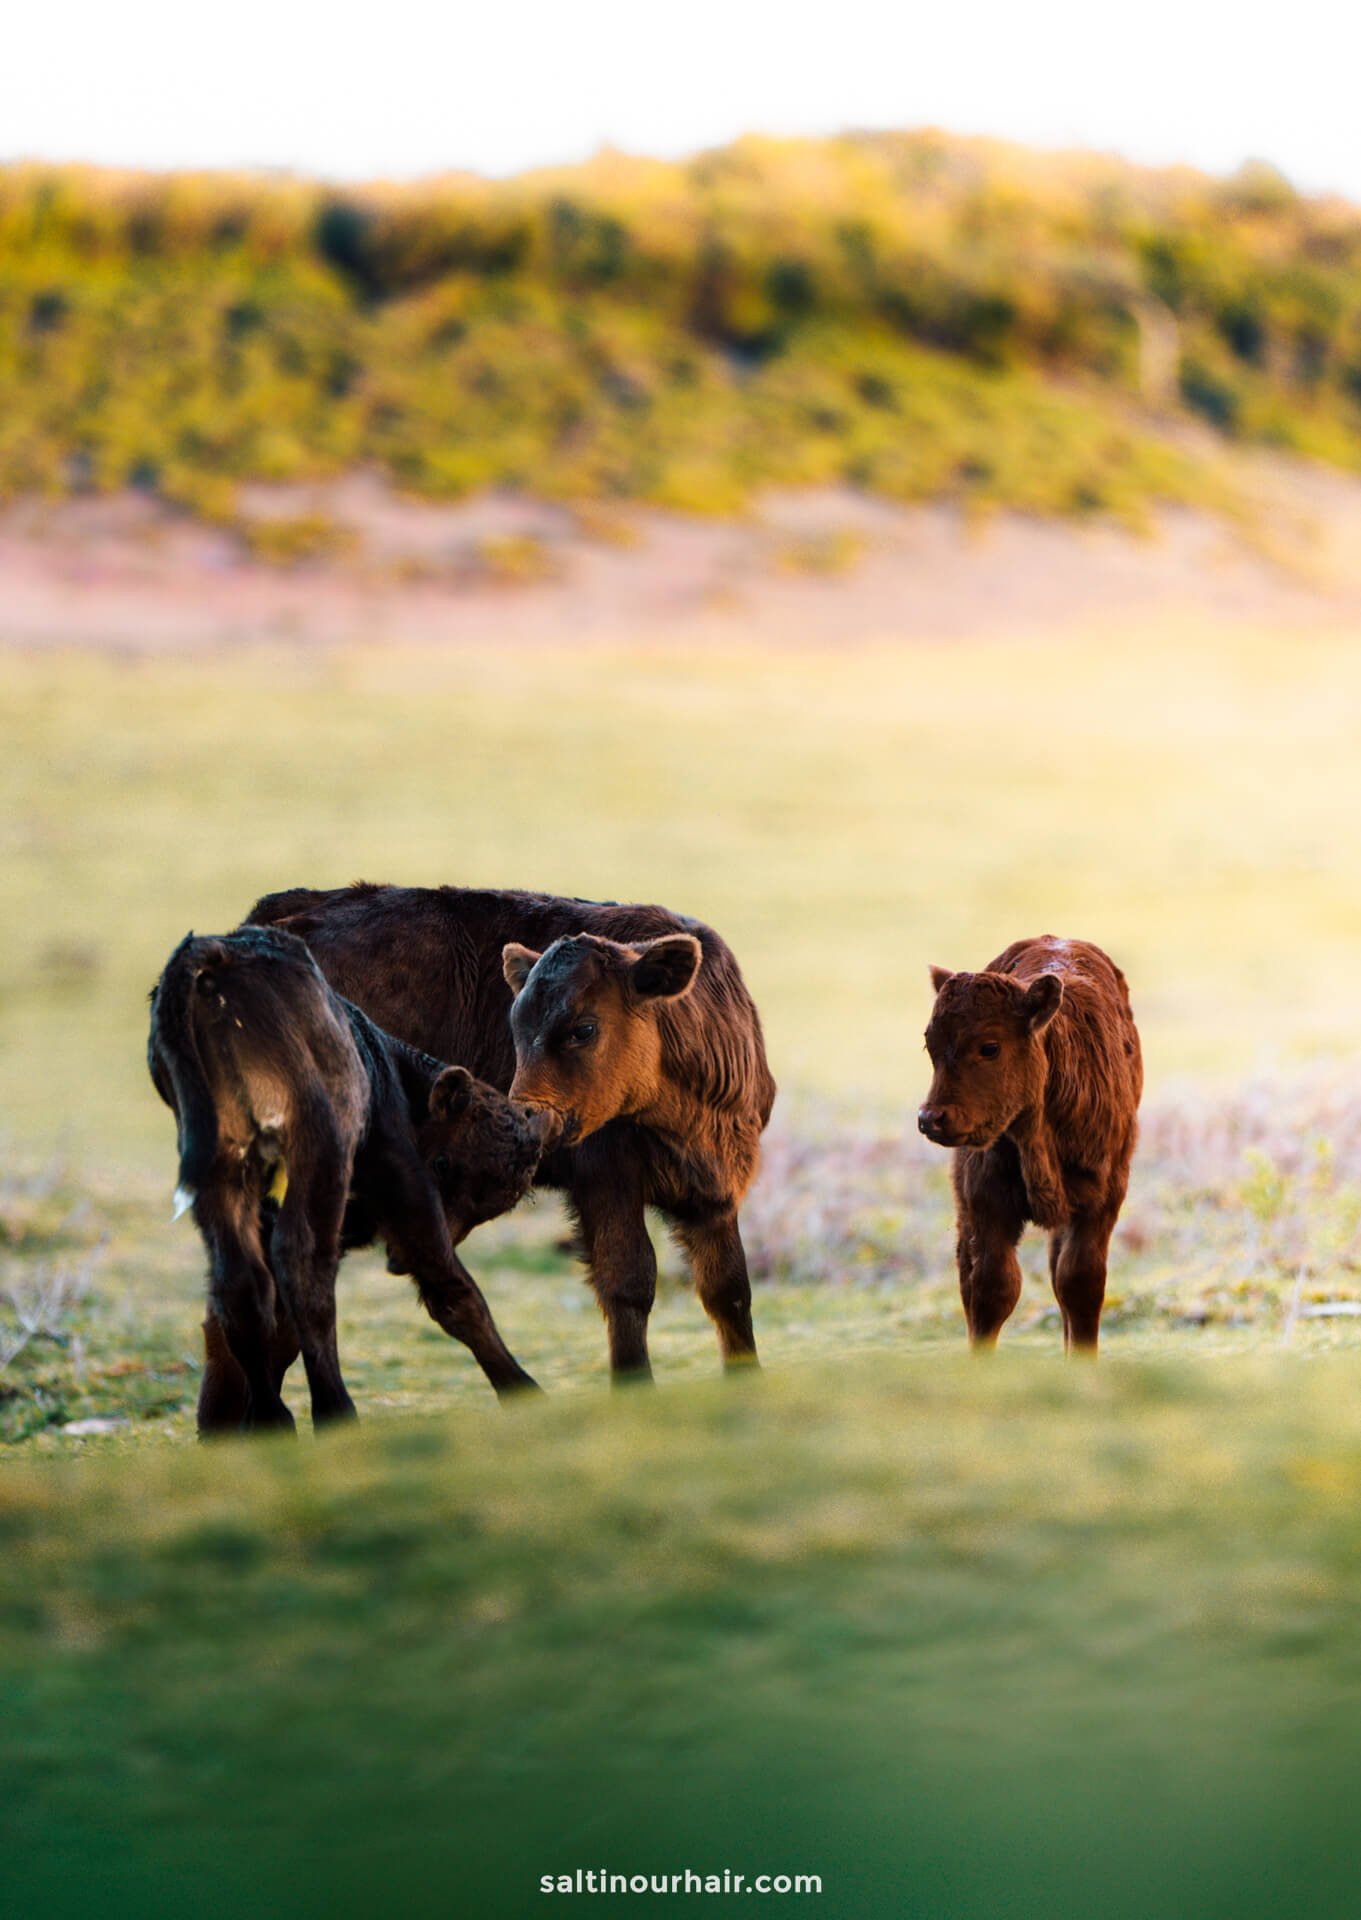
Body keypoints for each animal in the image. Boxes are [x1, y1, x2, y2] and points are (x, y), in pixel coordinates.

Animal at [144, 921, 556, 1436]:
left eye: (489, 1208)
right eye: (442, 1164)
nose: (394, 1261)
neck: (391, 1073)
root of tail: (218, 951)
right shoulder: (406, 1182)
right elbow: (453, 1289)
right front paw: (524, 1390)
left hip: (221, 1159)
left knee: (242, 1282)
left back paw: (270, 1417)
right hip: (320, 1143)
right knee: (302, 1264)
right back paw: (333, 1411)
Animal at [243, 879, 775, 1390]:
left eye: (584, 1028)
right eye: (515, 1028)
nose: (526, 1114)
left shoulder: (715, 1193)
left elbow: (728, 1290)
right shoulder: (606, 1183)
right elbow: (629, 1284)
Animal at [917, 936, 1144, 1359]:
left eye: (990, 1047)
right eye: (930, 1045)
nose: (931, 1118)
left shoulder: (1102, 1200)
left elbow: (1080, 1283)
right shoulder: (985, 1200)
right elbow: (992, 1288)